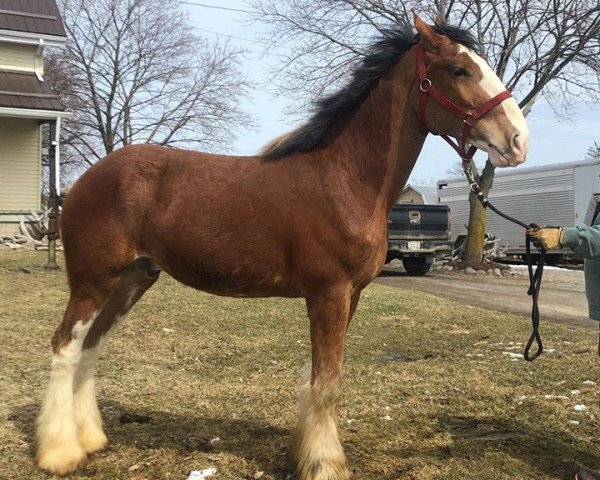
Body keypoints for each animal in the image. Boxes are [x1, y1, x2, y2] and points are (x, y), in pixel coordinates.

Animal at [35, 15, 528, 480]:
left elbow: (319, 380)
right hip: (94, 281)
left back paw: (90, 440)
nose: (518, 141)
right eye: (460, 70)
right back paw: (60, 453)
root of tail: (82, 182)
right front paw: (326, 464)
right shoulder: (328, 294)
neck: (344, 179)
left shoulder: (350, 296)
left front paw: (307, 453)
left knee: (90, 348)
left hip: (132, 280)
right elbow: (327, 383)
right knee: (65, 346)